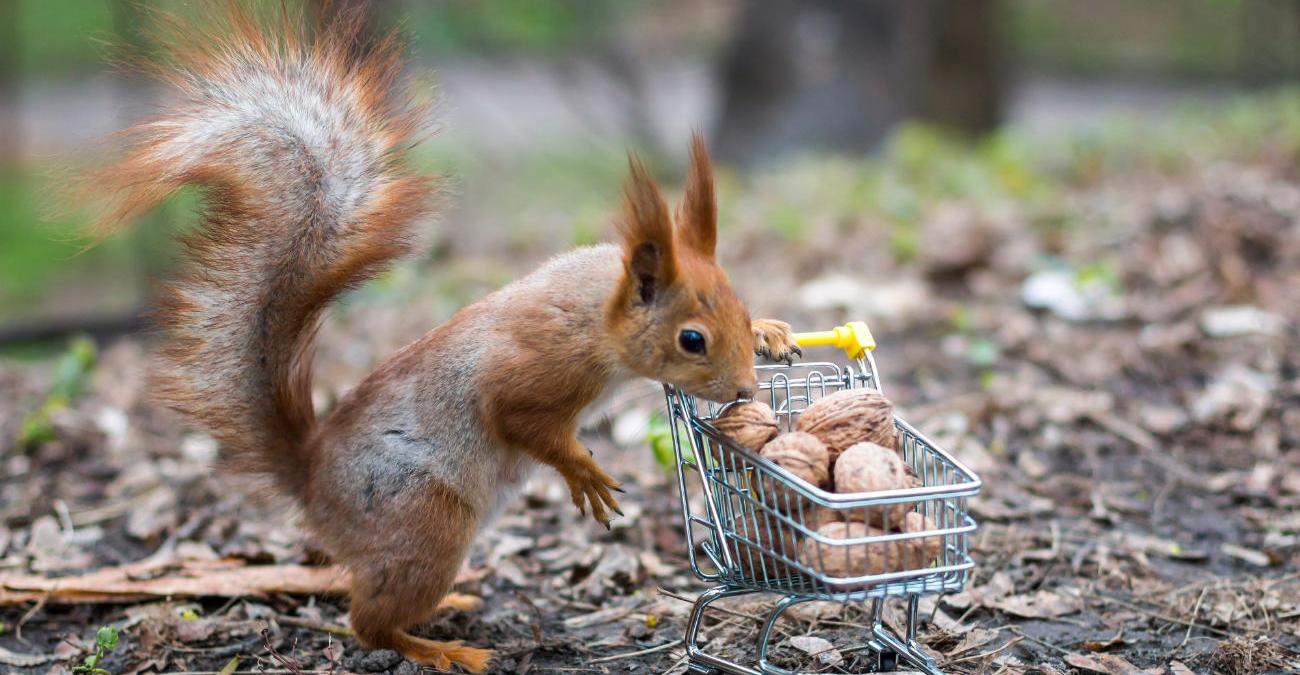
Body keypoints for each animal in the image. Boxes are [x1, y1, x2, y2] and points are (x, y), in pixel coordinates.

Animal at [83, 6, 800, 675]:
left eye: (738, 303)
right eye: (691, 340)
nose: (744, 389)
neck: (596, 308)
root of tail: (309, 476)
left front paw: (772, 332)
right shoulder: (536, 366)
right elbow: (519, 419)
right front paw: (584, 471)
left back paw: (448, 609)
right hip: (426, 523)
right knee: (366, 621)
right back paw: (443, 649)